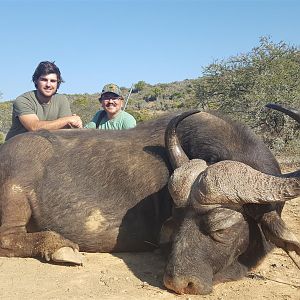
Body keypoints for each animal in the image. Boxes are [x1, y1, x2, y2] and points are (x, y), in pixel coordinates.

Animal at [0, 103, 298, 296]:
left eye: (220, 228)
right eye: (176, 221)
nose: (180, 283)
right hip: (16, 193)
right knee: (7, 237)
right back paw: (61, 248)